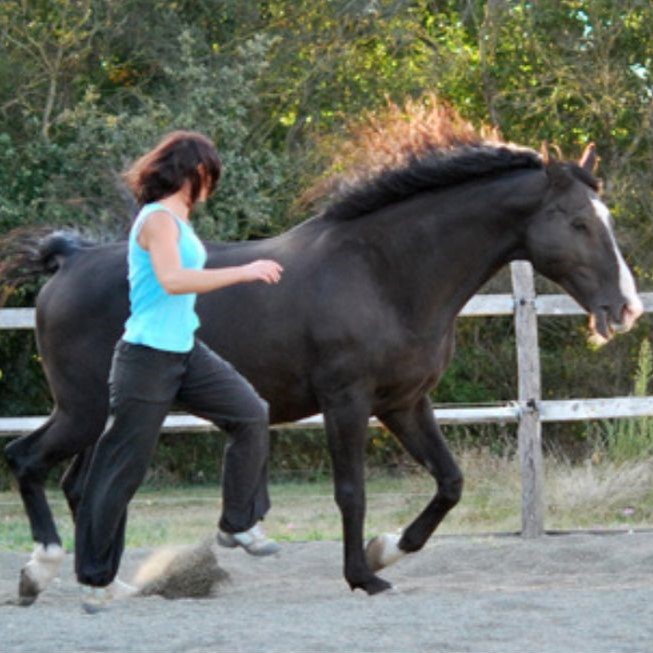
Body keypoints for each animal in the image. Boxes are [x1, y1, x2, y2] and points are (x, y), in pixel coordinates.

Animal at [1, 131, 640, 600]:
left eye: (605, 218)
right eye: (579, 222)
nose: (625, 308)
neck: (383, 273)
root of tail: (69, 261)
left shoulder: (405, 402)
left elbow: (450, 482)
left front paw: (388, 549)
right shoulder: (346, 401)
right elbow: (351, 492)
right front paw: (364, 575)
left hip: (110, 414)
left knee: (82, 484)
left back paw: (106, 583)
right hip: (85, 410)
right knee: (28, 460)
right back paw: (42, 570)